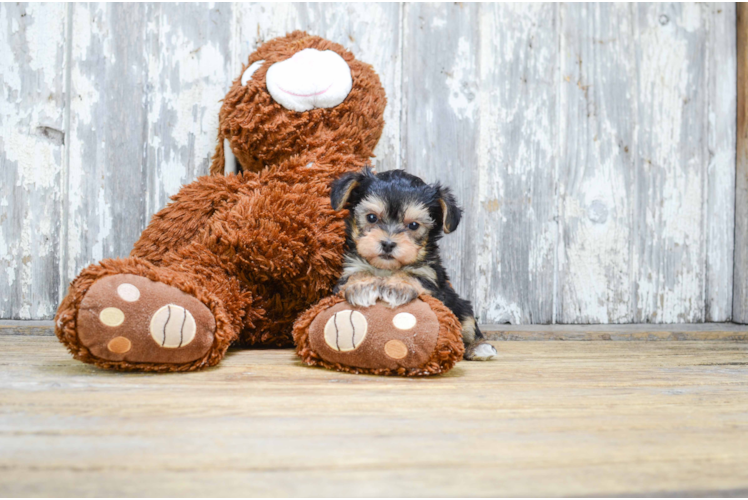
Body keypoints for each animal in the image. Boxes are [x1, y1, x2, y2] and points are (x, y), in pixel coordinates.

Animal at [332, 170, 496, 362]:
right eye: (371, 217)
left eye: (413, 225)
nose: (388, 244)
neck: (386, 268)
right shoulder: (349, 269)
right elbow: (356, 275)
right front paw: (362, 286)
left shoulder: (431, 277)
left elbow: (414, 276)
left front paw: (397, 286)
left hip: (461, 306)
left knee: (469, 326)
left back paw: (480, 347)